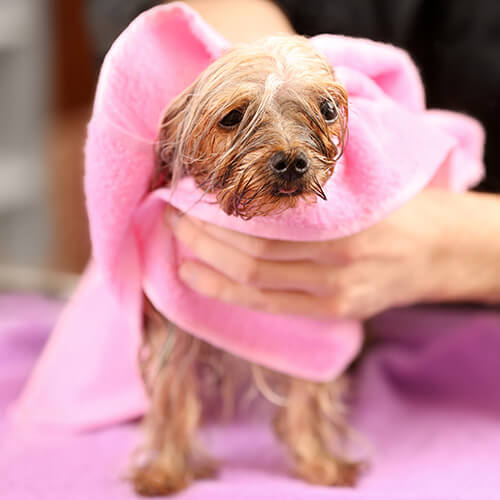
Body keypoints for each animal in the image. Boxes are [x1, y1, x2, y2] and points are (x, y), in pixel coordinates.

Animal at [131, 34, 358, 496]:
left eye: (327, 109)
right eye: (233, 117)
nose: (292, 161)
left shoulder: (312, 324)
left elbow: (308, 391)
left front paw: (320, 461)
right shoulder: (173, 325)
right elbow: (172, 391)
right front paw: (165, 470)